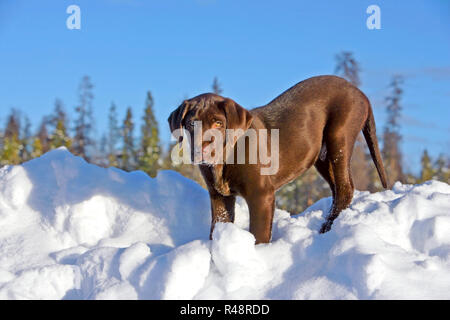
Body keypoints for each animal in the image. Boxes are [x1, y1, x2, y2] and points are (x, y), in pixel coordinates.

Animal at [168, 75, 386, 244]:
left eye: (218, 123)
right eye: (190, 124)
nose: (202, 151)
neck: (226, 156)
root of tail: (359, 92)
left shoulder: (261, 194)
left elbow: (259, 234)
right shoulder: (219, 197)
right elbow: (217, 229)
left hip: (338, 137)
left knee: (345, 188)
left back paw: (327, 227)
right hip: (322, 156)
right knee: (337, 189)